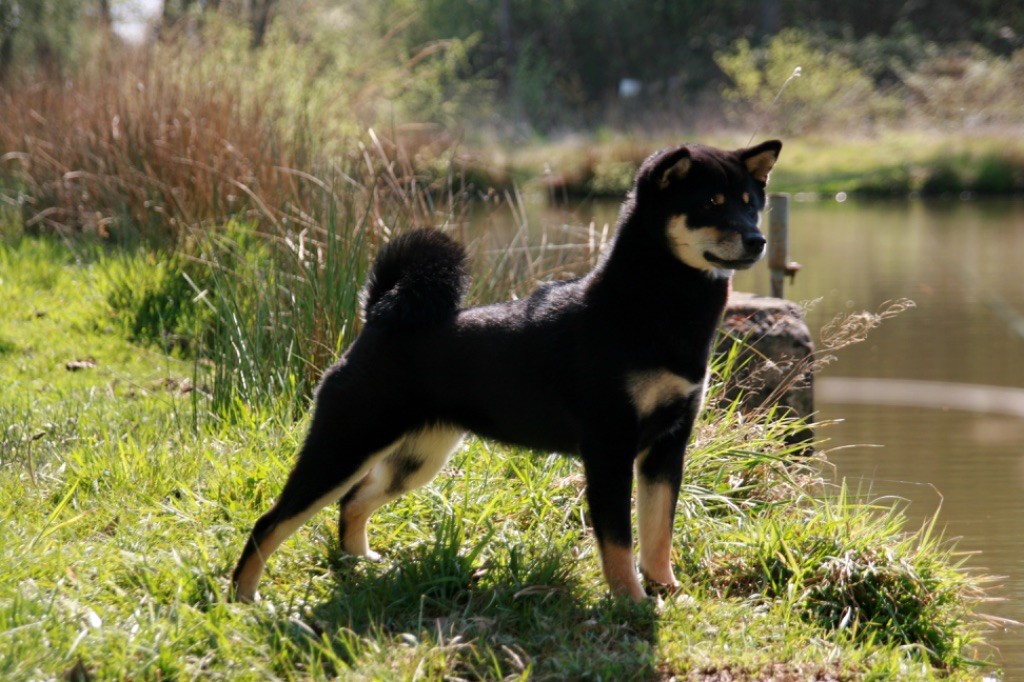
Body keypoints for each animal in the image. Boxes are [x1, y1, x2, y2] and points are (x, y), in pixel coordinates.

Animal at [232, 139, 778, 602]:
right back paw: (244, 597)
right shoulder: (609, 448)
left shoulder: (666, 447)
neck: (651, 306)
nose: (758, 239)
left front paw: (666, 589)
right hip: (343, 446)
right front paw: (631, 601)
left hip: (416, 458)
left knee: (353, 503)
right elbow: (620, 540)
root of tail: (378, 318)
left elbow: (658, 531)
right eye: (711, 202)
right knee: (271, 521)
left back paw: (360, 563)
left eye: (751, 202)